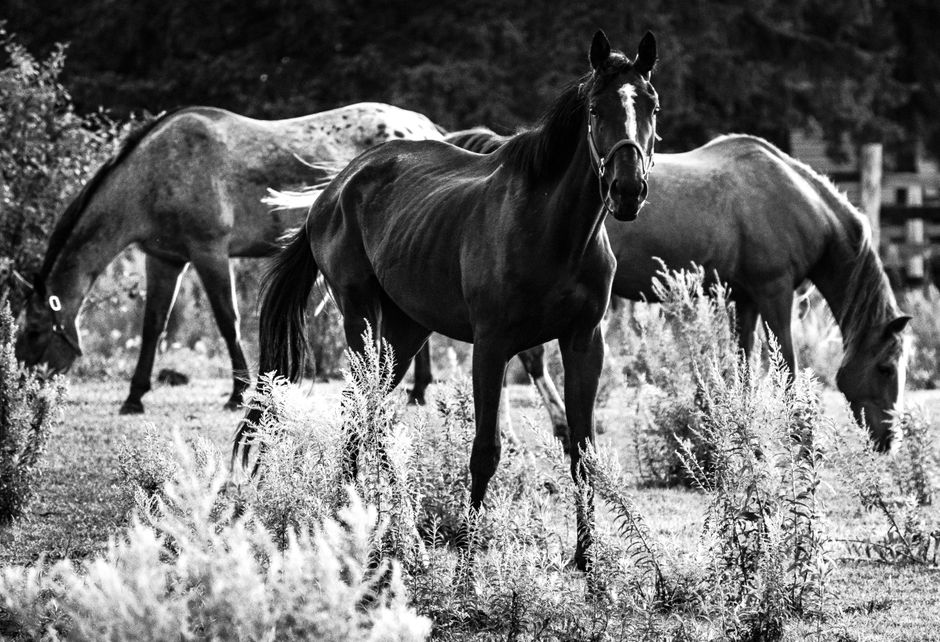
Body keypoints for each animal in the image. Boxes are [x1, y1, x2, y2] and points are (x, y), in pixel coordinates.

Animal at [14, 103, 444, 414]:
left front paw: (239, 392)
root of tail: (422, 127)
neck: (154, 173)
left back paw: (419, 389)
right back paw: (418, 389)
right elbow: (153, 325)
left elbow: (227, 321)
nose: (25, 389)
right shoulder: (164, 259)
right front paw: (134, 397)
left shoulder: (209, 253)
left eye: (33, 332)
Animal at [235, 30, 660, 569]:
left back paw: (377, 527)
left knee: (368, 415)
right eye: (595, 109)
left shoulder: (585, 342)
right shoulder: (492, 346)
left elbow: (583, 452)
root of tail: (335, 188)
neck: (555, 232)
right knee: (364, 413)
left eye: (651, 105)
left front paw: (587, 559)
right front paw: (470, 558)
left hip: (406, 330)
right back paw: (373, 528)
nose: (627, 190)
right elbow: (486, 451)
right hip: (361, 319)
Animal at [414, 131, 911, 451]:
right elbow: (785, 366)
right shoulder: (775, 294)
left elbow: (744, 365)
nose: (888, 440)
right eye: (886, 368)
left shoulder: (745, 299)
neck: (792, 199)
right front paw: (798, 435)